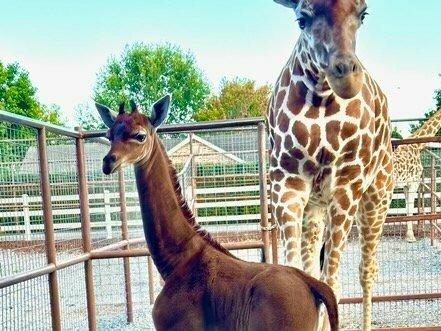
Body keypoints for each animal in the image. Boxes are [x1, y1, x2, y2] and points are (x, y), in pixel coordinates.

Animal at [266, 1, 394, 330]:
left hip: (376, 199)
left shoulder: (346, 187)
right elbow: (300, 275)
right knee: (315, 267)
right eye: (302, 19)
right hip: (315, 207)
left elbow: (332, 282)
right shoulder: (287, 184)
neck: (322, 98)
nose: (346, 76)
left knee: (366, 270)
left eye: (363, 14)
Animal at [394, 107, 440, 243]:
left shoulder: (406, 185)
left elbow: (407, 207)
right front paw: (411, 237)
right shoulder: (413, 182)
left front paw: (407, 235)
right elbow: (410, 208)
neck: (417, 145)